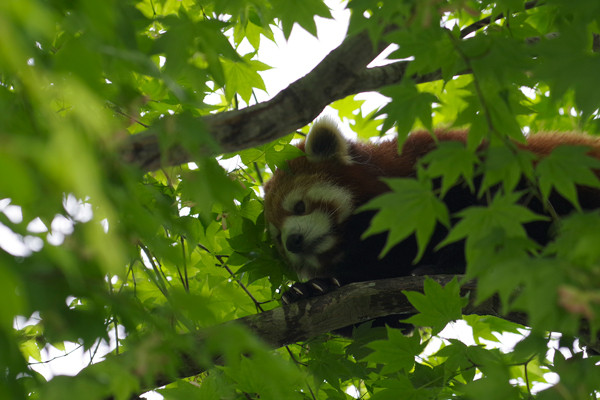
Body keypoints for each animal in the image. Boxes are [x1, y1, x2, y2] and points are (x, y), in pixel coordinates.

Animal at [264, 119, 600, 304]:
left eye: (299, 206)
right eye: (278, 238)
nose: (293, 241)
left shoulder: (444, 160)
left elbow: (478, 210)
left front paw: (449, 263)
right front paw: (311, 289)